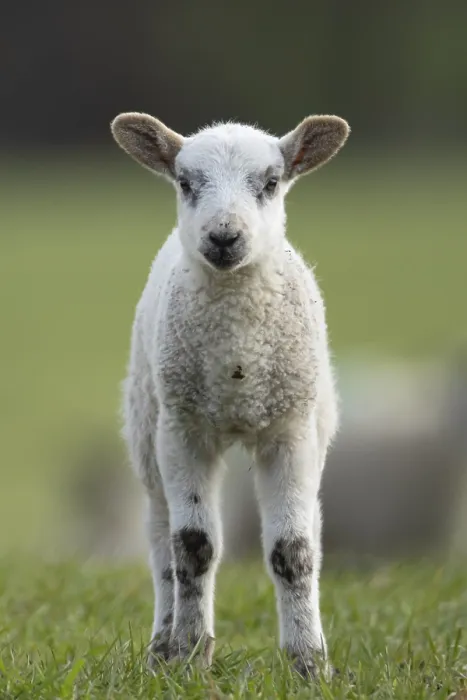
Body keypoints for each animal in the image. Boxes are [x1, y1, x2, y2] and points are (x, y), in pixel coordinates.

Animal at [110, 111, 350, 678]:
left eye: (271, 182)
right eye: (184, 182)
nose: (223, 236)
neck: (238, 359)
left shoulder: (290, 431)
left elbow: (293, 550)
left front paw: (309, 665)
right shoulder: (184, 430)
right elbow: (194, 548)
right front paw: (190, 655)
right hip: (147, 424)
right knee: (161, 539)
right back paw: (161, 646)